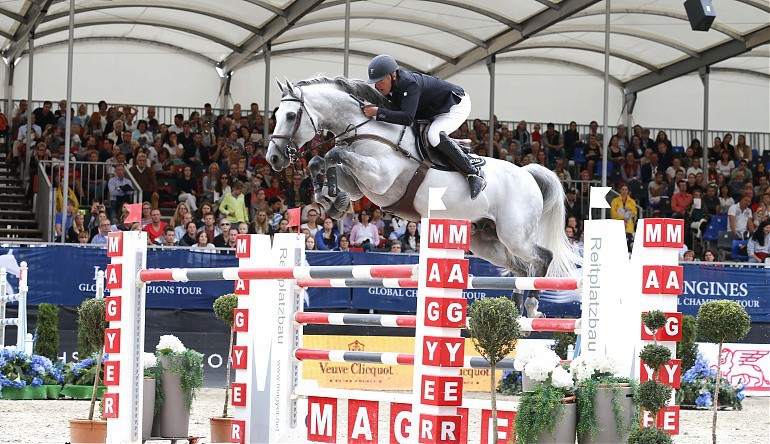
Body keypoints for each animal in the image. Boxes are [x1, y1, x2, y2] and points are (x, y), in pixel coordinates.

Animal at [268, 78, 580, 318]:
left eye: (291, 116)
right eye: (277, 114)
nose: (273, 158)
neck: (368, 129)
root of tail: (527, 175)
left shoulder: (379, 178)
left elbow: (334, 153)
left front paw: (331, 196)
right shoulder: (362, 185)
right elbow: (322, 161)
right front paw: (331, 199)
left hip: (514, 234)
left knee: (543, 257)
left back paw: (533, 306)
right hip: (485, 240)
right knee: (521, 267)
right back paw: (517, 312)